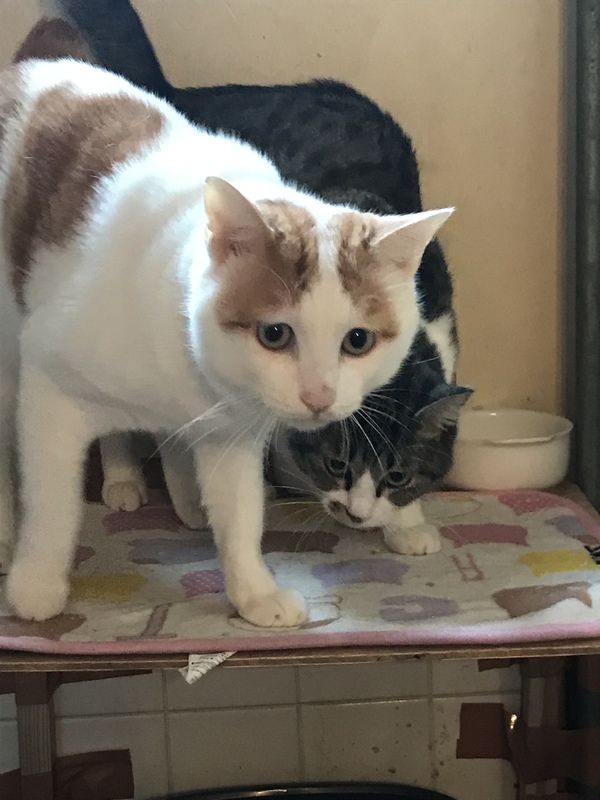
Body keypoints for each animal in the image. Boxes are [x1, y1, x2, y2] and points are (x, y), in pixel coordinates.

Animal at [0, 56, 452, 627]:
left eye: (358, 340)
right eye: (274, 334)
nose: (319, 397)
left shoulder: (232, 435)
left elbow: (241, 518)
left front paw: (255, 593)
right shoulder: (50, 388)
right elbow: (52, 501)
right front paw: (36, 585)